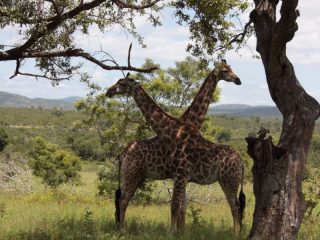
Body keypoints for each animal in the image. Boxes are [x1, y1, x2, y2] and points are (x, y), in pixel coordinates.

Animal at [105, 60, 245, 236]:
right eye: (225, 70)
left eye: (121, 83)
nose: (108, 91)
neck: (173, 130)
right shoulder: (180, 176)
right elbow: (180, 207)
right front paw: (179, 232)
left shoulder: (181, 175)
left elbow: (177, 207)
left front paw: (175, 232)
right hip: (132, 174)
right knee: (122, 200)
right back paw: (121, 229)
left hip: (228, 180)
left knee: (236, 206)